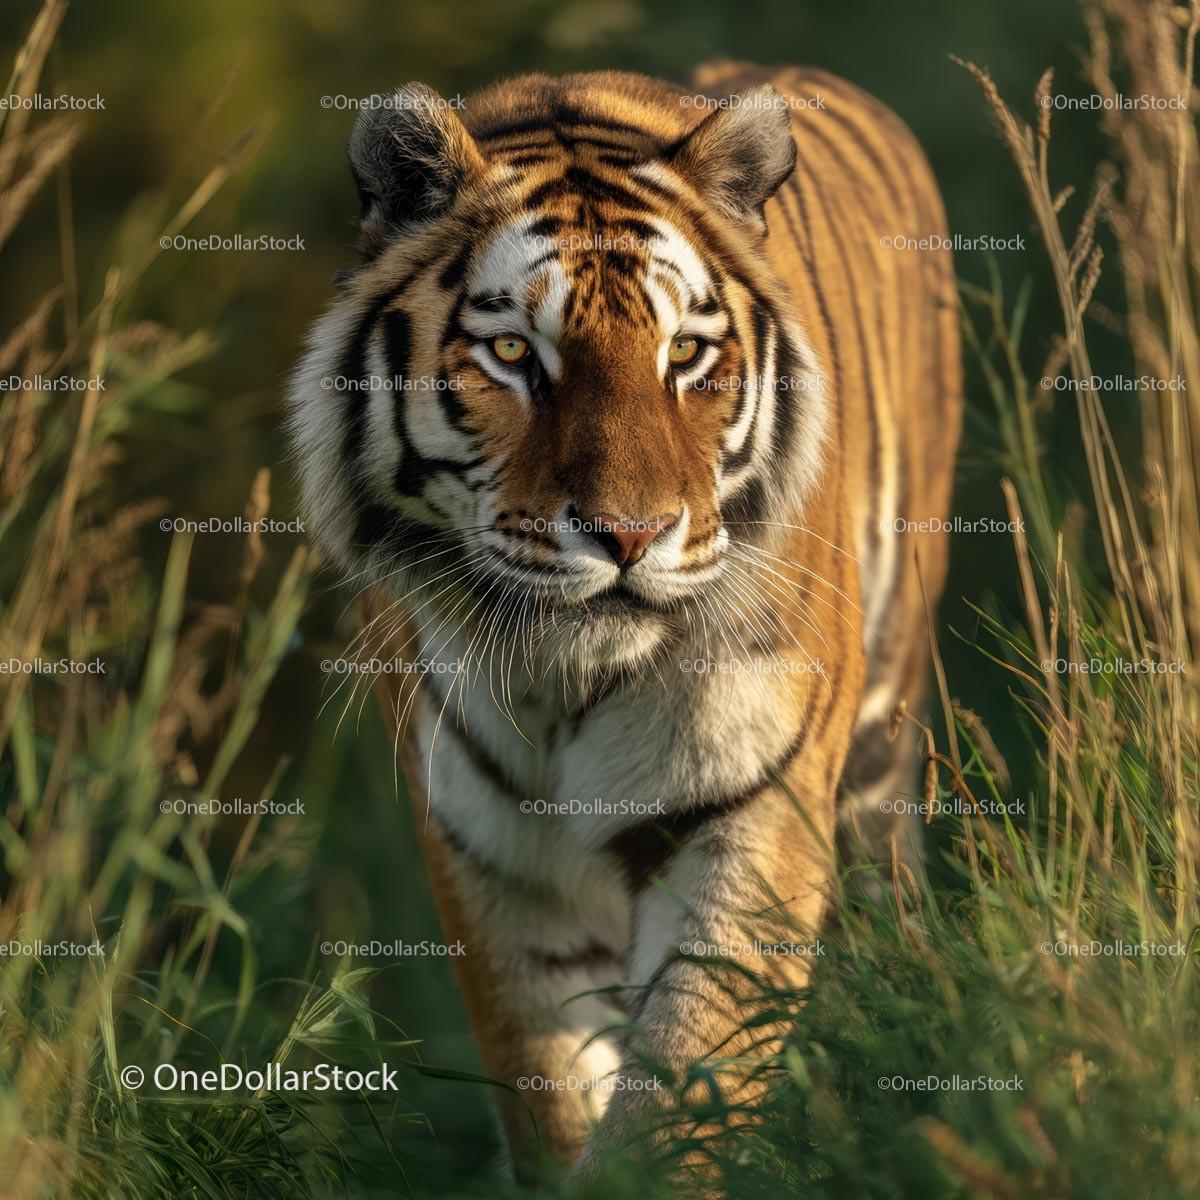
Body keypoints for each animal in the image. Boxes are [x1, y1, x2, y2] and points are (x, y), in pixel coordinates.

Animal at [286, 61, 960, 1185]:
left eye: (685, 353)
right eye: (512, 352)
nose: (631, 535)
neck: (567, 684)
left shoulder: (753, 813)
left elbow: (678, 1092)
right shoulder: (491, 854)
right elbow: (555, 1093)